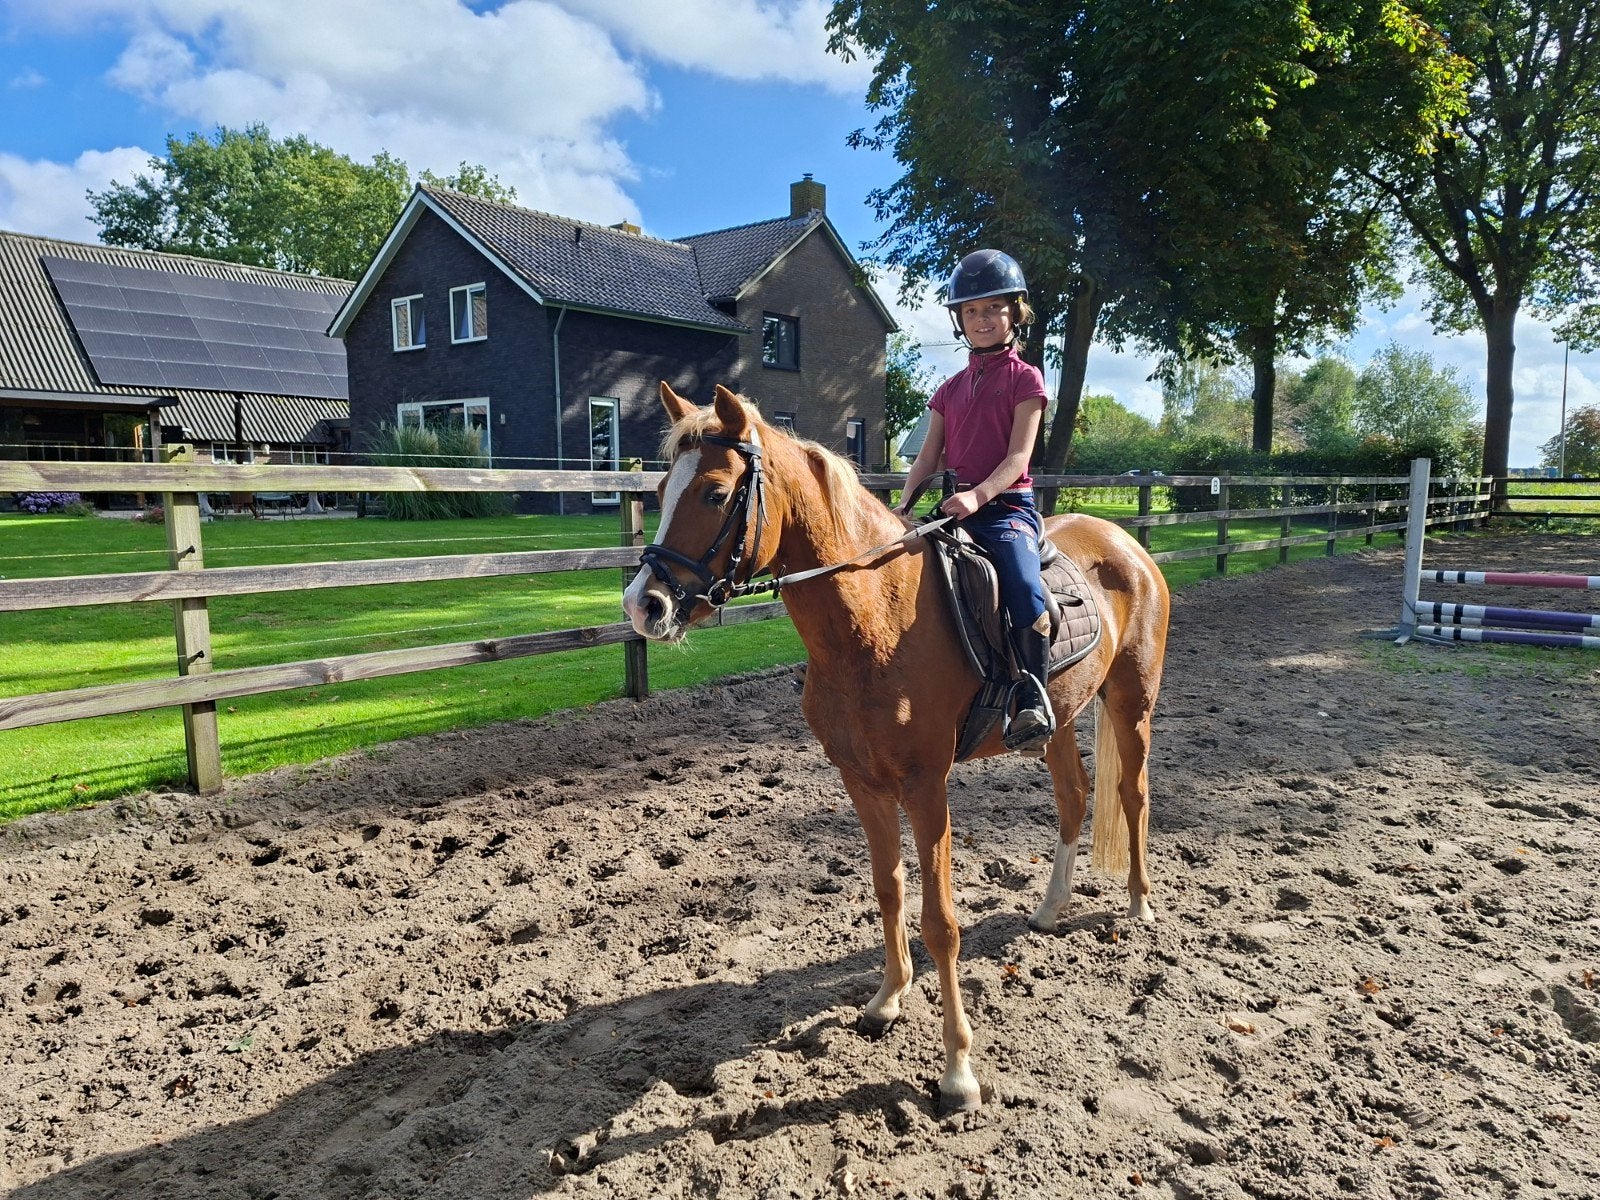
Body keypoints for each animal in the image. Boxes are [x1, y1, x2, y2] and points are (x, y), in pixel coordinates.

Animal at [623, 383, 1171, 1114]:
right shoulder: (862, 781)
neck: (874, 616)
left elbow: (941, 922)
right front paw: (886, 1000)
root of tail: (1123, 543)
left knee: (1131, 795)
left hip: (1131, 704)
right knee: (1075, 800)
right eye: (660, 490)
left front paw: (958, 1071)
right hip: (1058, 722)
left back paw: (1138, 902)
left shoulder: (925, 785)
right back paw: (1051, 909)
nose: (643, 605)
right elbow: (888, 889)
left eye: (713, 493)